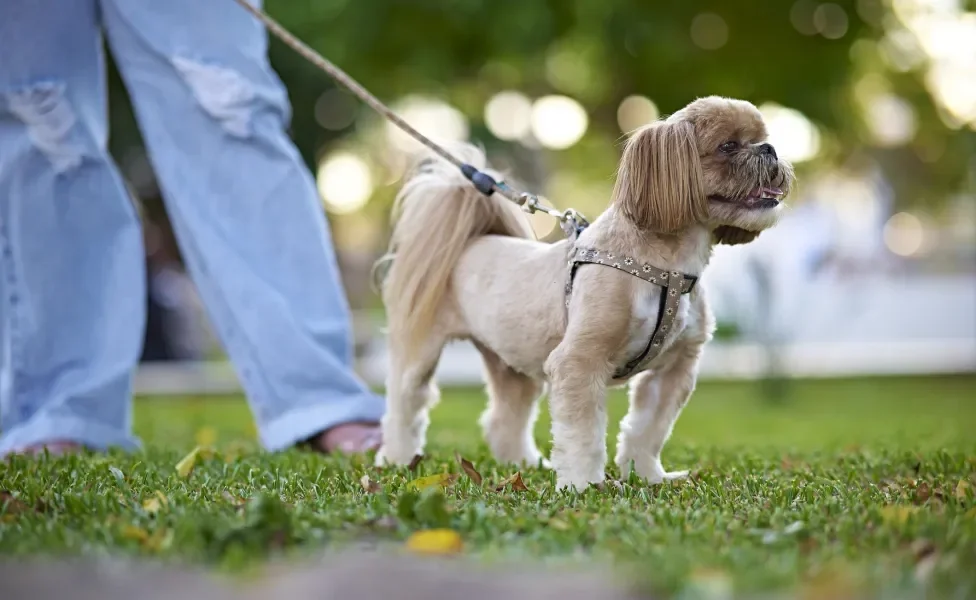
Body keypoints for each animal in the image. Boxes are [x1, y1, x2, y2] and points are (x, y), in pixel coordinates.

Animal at [374, 94, 792, 488]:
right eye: (728, 146)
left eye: (763, 138)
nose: (770, 149)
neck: (668, 267)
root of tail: (470, 243)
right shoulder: (579, 362)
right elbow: (583, 434)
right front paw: (582, 485)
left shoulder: (673, 372)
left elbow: (648, 431)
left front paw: (648, 476)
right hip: (421, 353)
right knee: (405, 406)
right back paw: (397, 459)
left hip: (511, 363)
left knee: (506, 414)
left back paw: (523, 464)